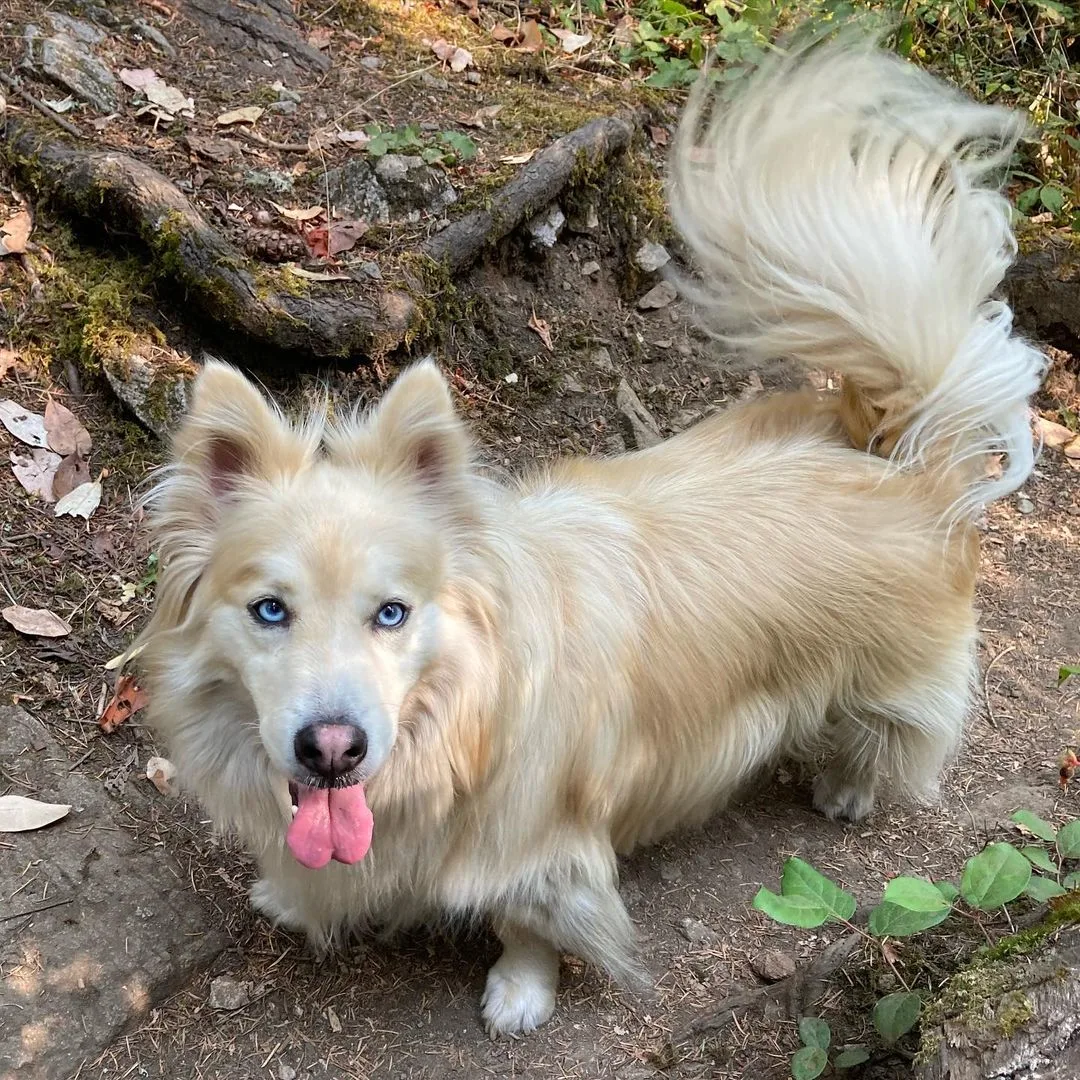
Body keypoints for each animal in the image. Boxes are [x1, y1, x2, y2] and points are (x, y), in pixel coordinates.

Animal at [139, 38, 1041, 1036]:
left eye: (392, 614)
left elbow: (530, 923)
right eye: (269, 610)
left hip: (892, 677)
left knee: (893, 732)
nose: (332, 749)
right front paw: (293, 895)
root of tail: (894, 452)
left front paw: (519, 992)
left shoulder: (542, 843)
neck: (459, 722)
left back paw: (848, 787)